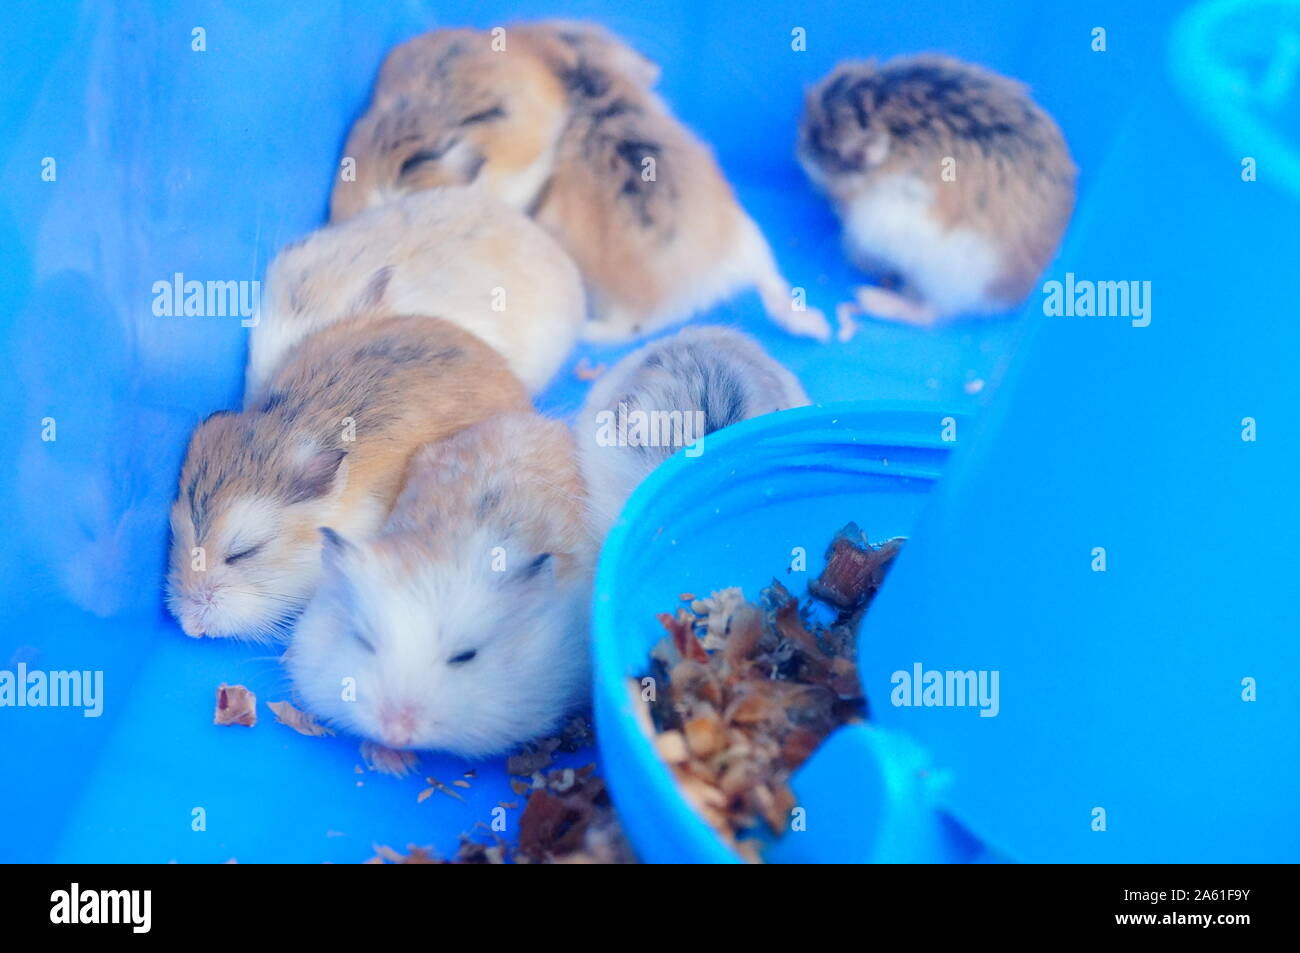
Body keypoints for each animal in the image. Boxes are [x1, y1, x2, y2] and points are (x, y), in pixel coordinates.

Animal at [798, 55, 1077, 325]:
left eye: (819, 145)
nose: (799, 150)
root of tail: (1016, 296)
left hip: (945, 280)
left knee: (930, 315)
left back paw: (870, 298)